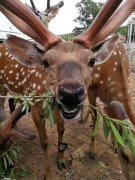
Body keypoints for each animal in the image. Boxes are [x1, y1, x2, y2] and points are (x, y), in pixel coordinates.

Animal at [0, 0, 135, 179]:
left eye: (92, 61)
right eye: (45, 62)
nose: (71, 94)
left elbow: (63, 129)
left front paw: (62, 160)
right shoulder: (36, 106)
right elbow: (44, 141)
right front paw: (48, 173)